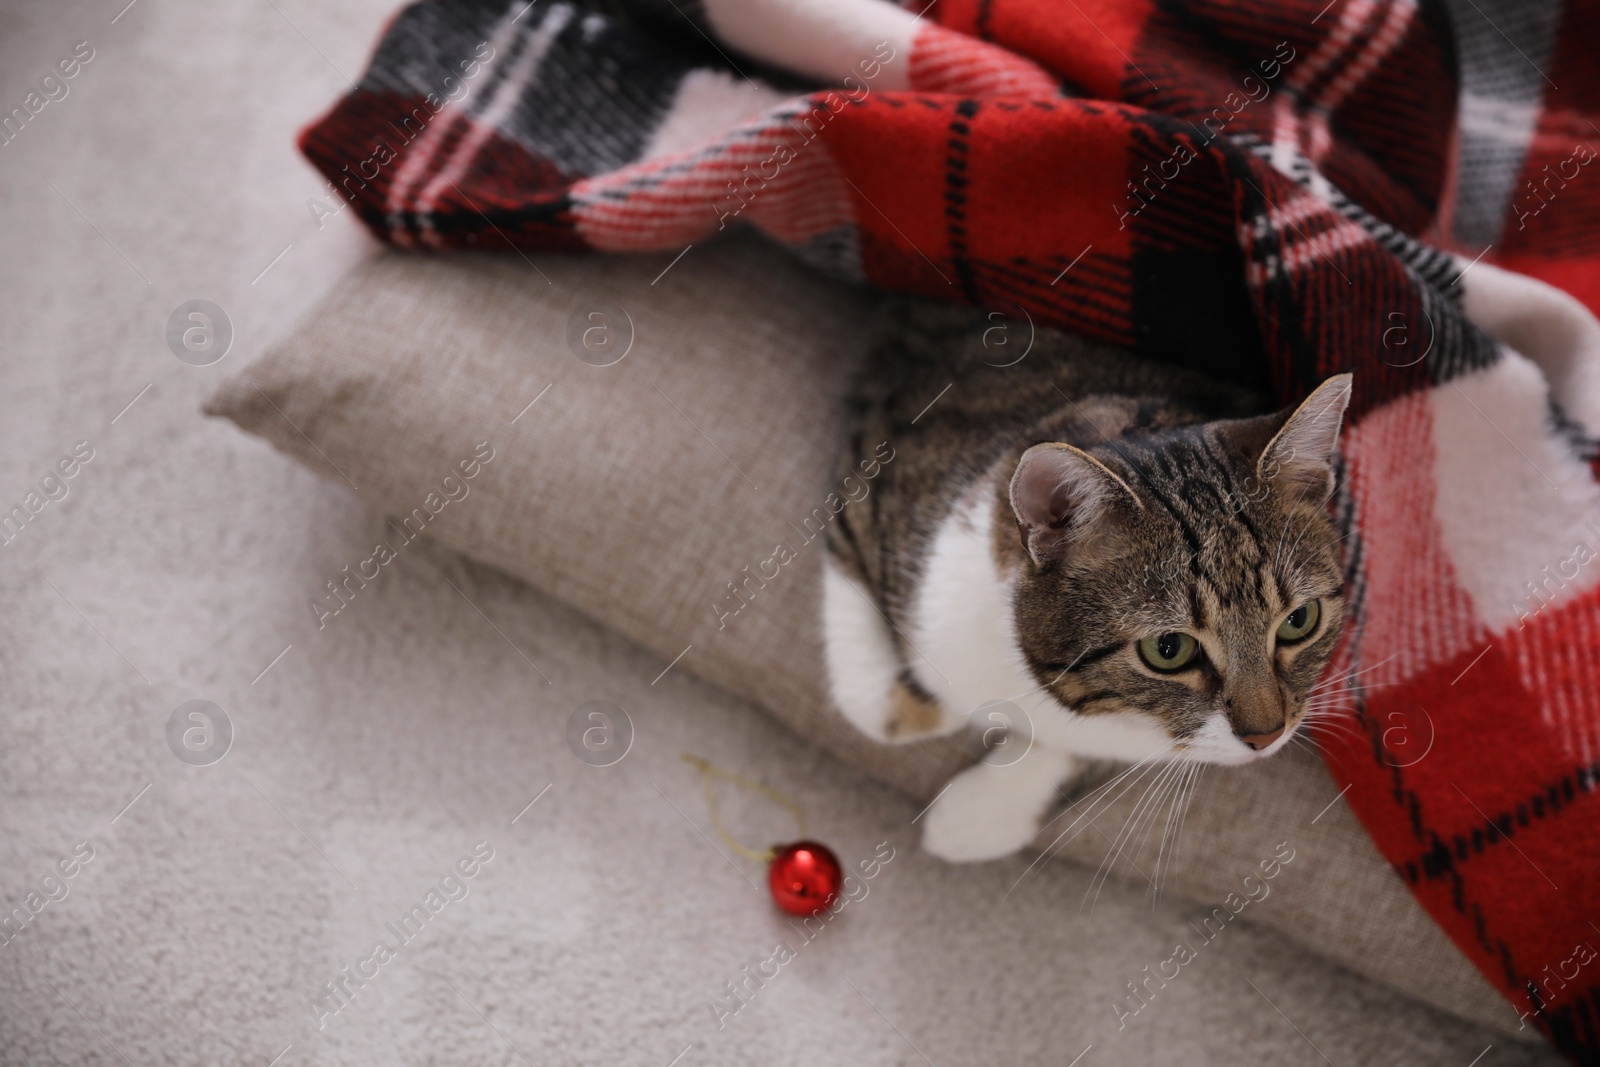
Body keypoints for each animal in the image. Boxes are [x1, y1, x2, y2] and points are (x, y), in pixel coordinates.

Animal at [825, 299, 1350, 857]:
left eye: (1299, 619)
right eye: (1169, 649)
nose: (1266, 737)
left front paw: (977, 816)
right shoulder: (878, 457)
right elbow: (876, 706)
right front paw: (939, 706)